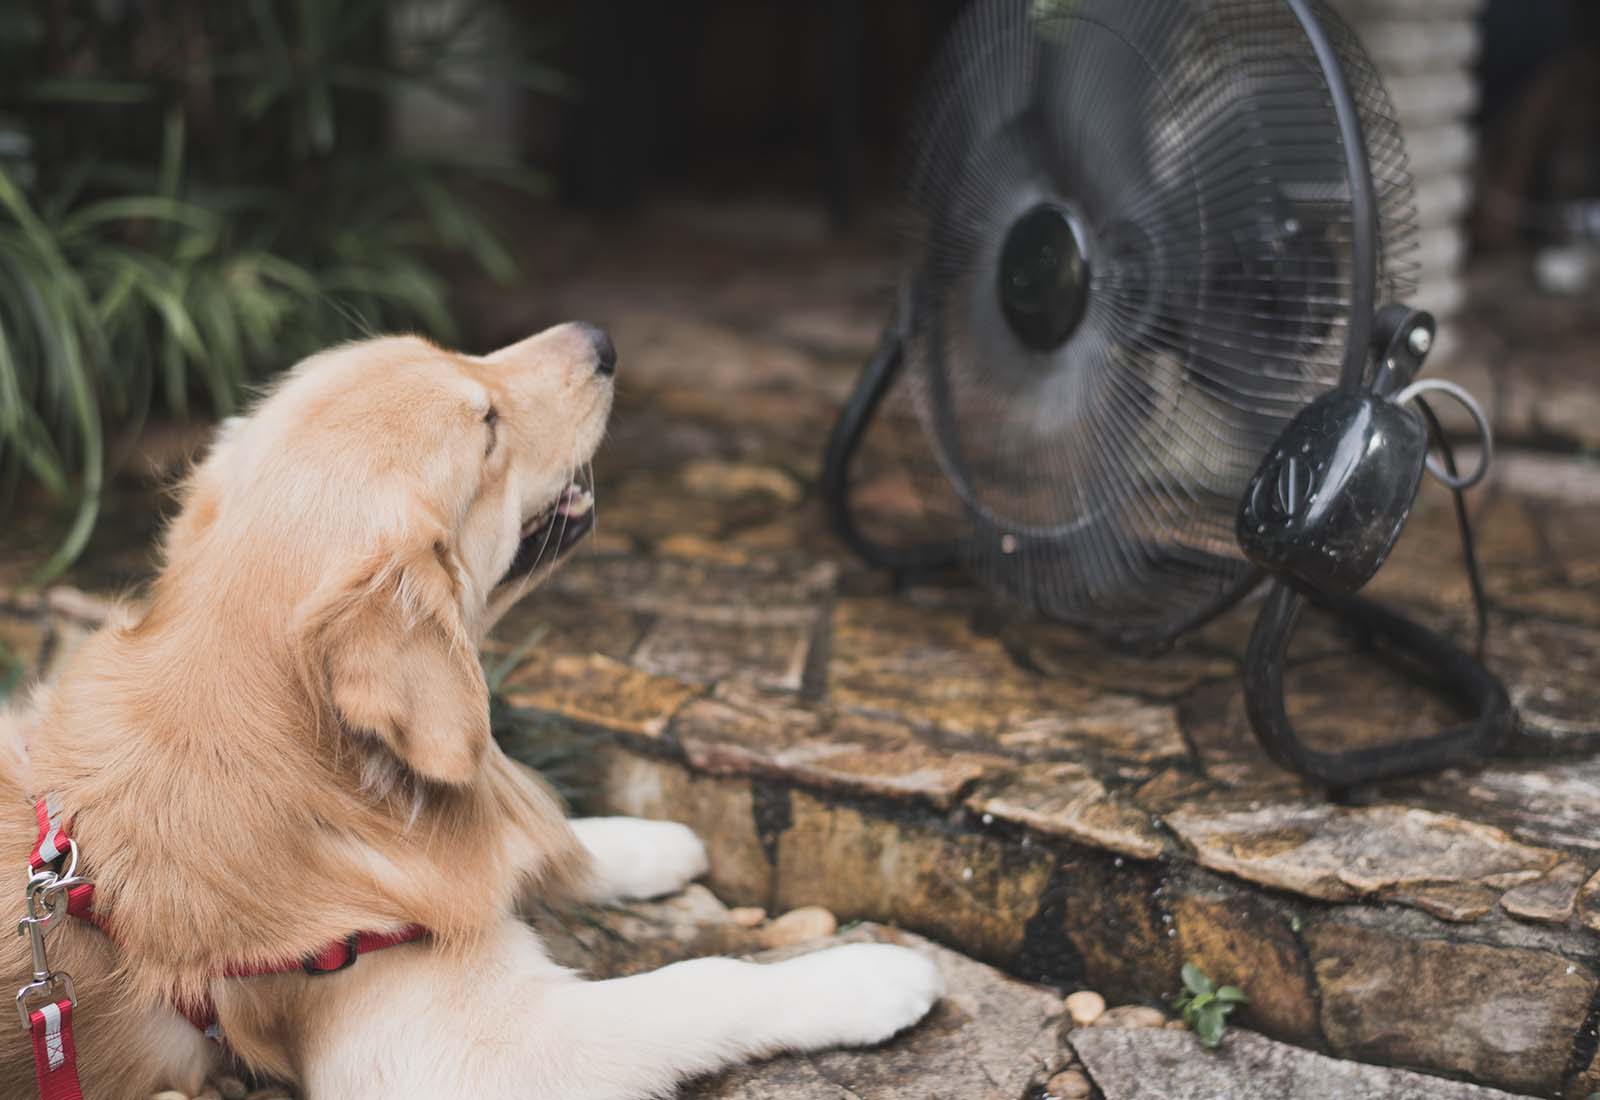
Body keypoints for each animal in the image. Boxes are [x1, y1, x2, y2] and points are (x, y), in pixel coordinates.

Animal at [0, 326, 940, 1100]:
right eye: (487, 428)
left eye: (450, 350)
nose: (601, 338)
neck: (318, 769)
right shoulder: (463, 1049)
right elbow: (703, 982)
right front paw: (865, 978)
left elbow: (542, 836)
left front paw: (647, 844)